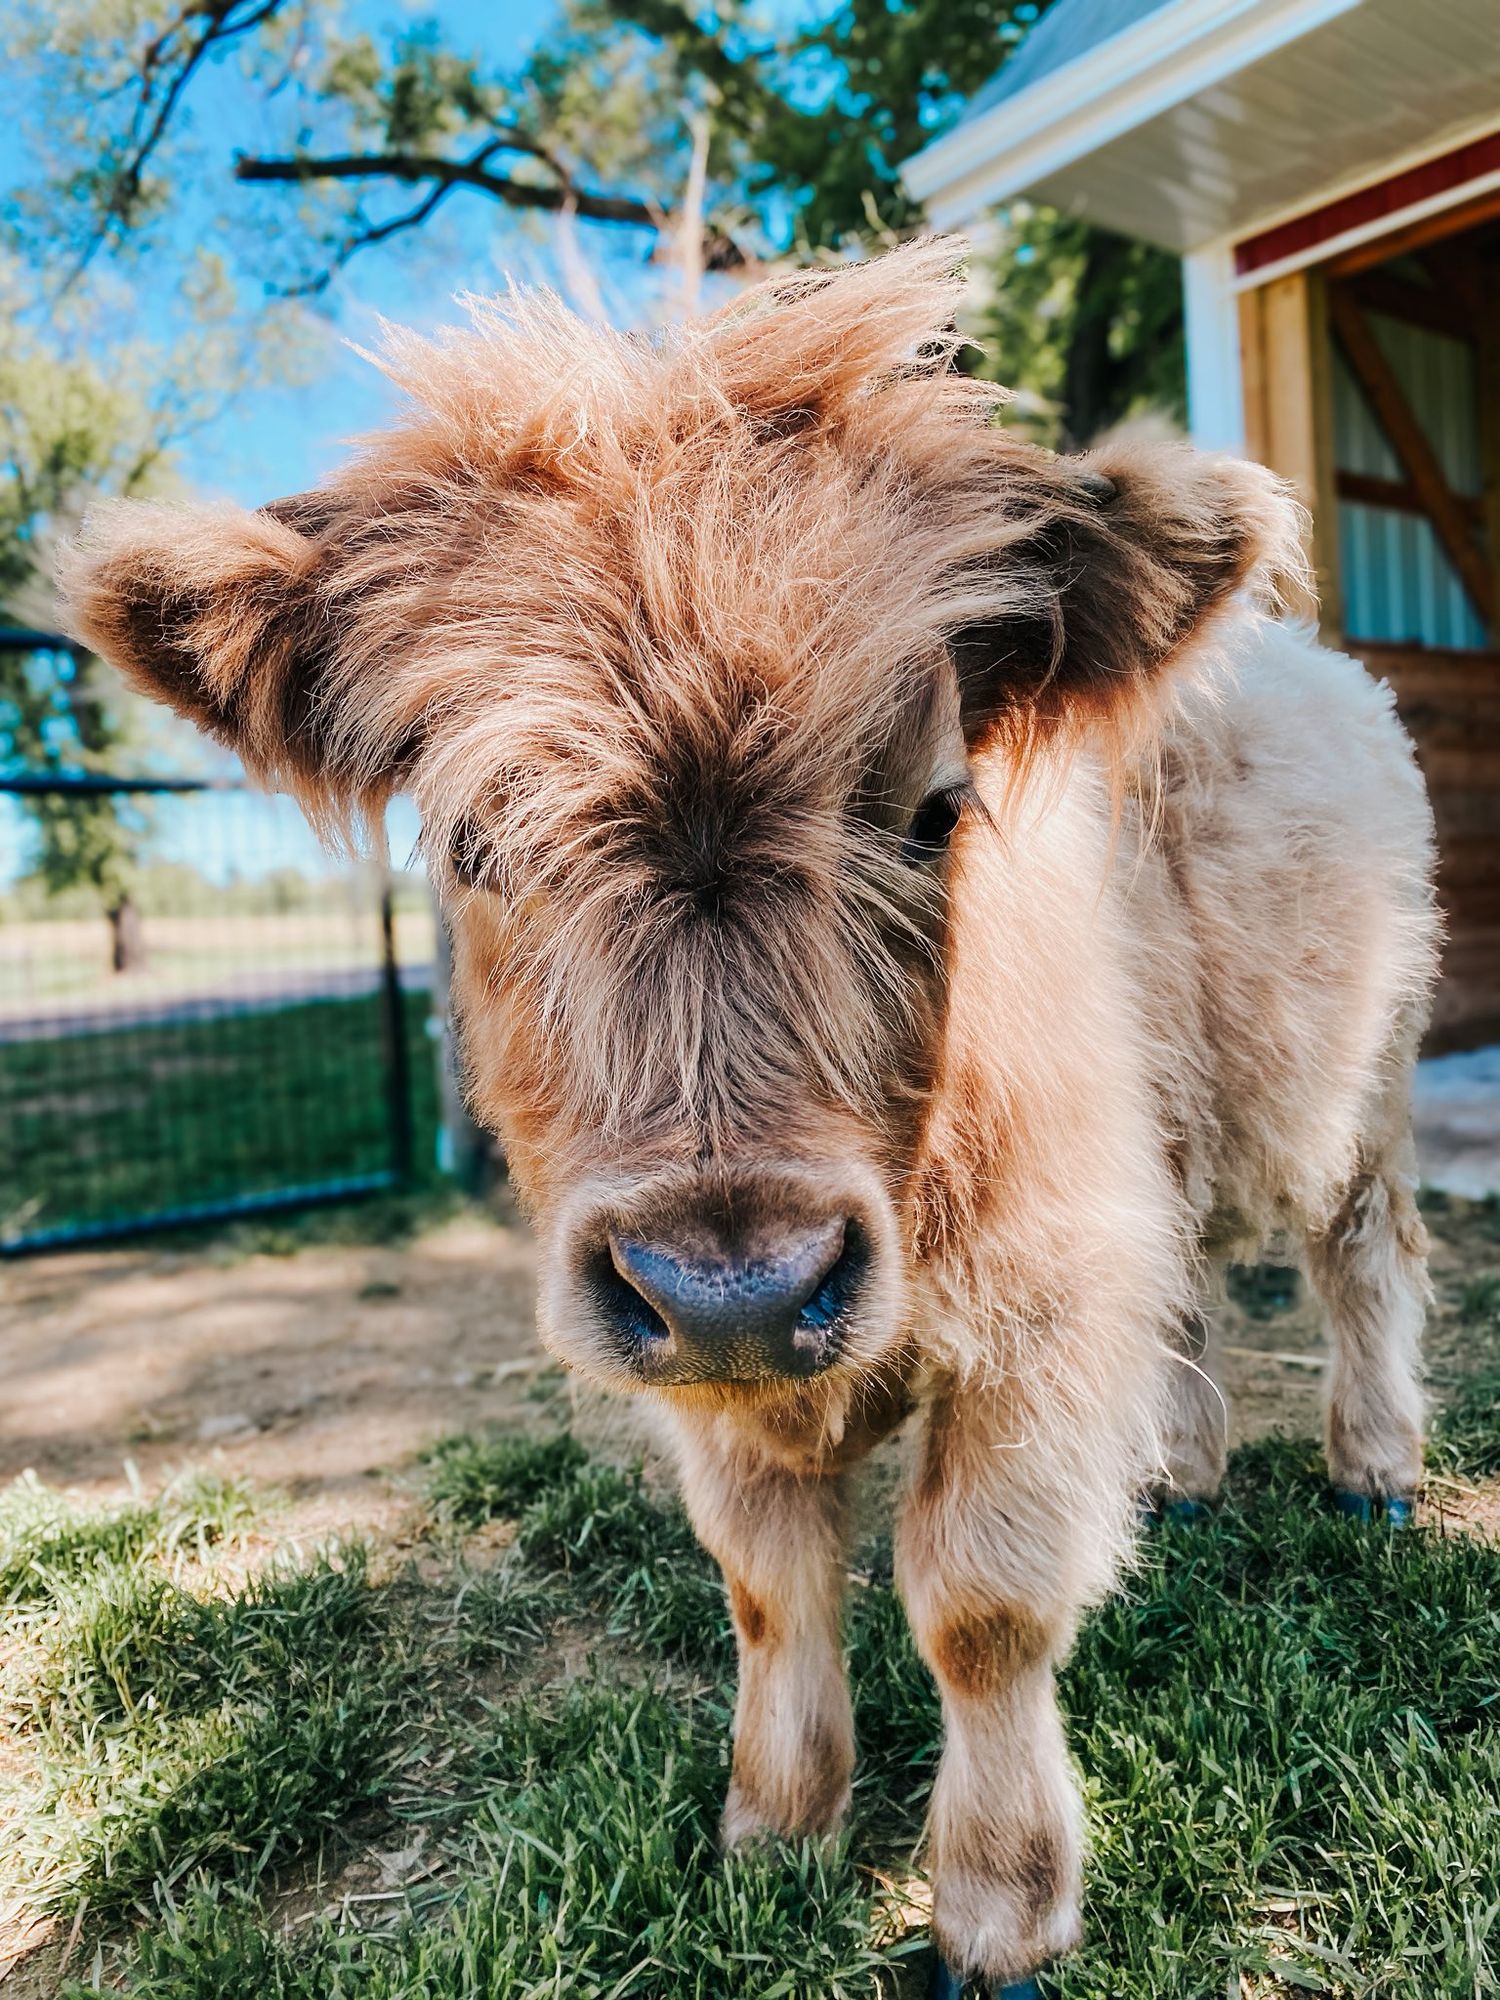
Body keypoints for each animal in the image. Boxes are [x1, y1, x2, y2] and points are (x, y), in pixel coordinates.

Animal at [59, 240, 1439, 1997]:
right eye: (473, 841)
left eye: (934, 811)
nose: (739, 1285)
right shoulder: (709, 1342)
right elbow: (769, 1588)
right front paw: (772, 1839)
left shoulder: (1041, 1298)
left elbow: (979, 1603)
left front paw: (996, 1911)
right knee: (1189, 1289)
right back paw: (1180, 1484)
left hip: (1360, 1084)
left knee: (1365, 1253)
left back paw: (1377, 1471)